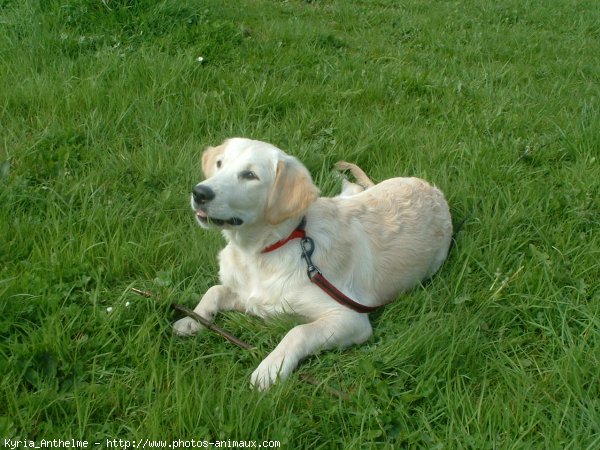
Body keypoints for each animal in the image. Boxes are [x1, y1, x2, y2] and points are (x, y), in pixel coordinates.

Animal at [171, 137, 452, 390]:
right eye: (220, 163)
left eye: (250, 175)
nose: (200, 192)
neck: (265, 250)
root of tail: (430, 187)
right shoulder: (251, 296)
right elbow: (215, 290)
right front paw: (192, 320)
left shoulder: (350, 318)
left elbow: (298, 332)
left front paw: (270, 369)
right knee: (353, 189)